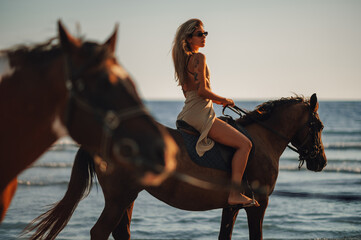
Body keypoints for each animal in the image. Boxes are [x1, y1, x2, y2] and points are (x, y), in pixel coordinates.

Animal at [25, 94, 326, 240]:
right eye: (318, 126)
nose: (321, 161)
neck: (261, 141)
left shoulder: (231, 206)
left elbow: (224, 236)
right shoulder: (258, 204)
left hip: (126, 198)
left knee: (121, 233)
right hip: (120, 197)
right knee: (99, 233)